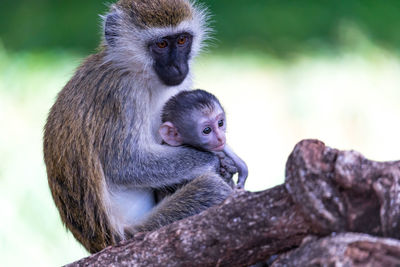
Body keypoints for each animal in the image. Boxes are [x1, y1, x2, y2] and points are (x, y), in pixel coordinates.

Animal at [43, 0, 233, 255]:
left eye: (182, 40)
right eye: (161, 44)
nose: (178, 66)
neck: (137, 71)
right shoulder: (122, 94)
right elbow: (126, 163)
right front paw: (215, 160)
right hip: (142, 230)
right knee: (210, 189)